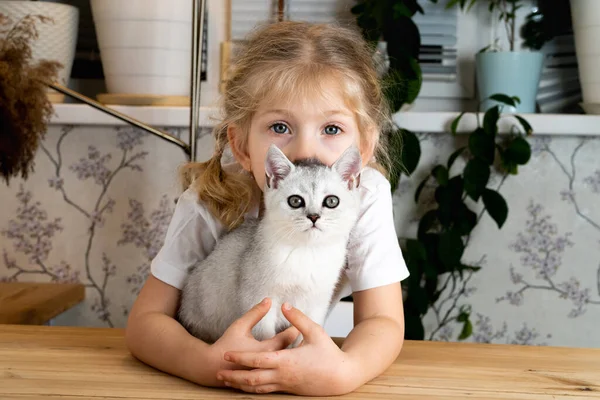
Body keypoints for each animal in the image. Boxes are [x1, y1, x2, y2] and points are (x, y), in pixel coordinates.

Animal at [178, 145, 360, 346]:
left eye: (332, 201)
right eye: (295, 201)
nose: (313, 217)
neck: (306, 252)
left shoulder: (316, 305)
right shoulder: (259, 300)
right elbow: (265, 337)